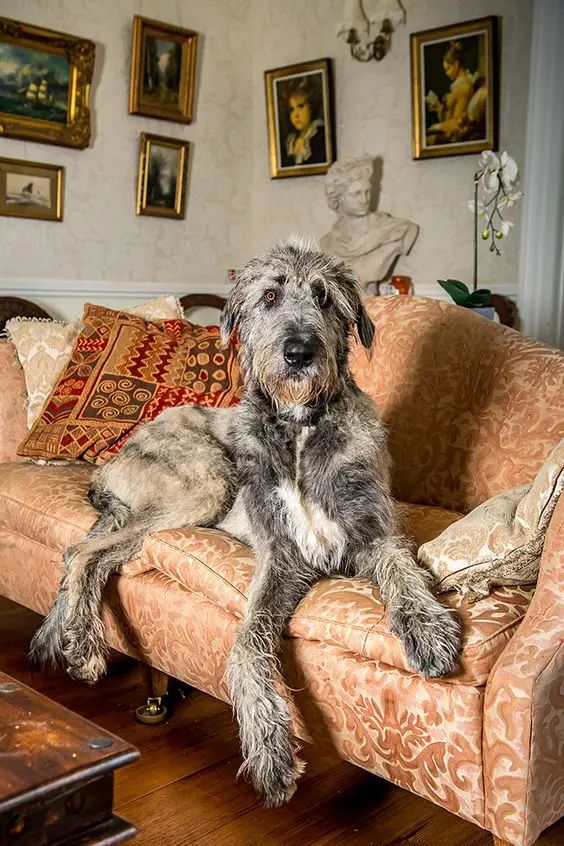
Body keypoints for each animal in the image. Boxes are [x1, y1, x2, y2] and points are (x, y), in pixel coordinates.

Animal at [28, 237, 460, 808]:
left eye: (324, 297)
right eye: (270, 296)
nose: (299, 353)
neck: (299, 428)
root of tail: (110, 460)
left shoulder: (372, 532)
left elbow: (401, 572)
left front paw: (427, 627)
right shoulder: (279, 556)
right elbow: (246, 642)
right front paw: (269, 748)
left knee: (90, 553)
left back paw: (79, 638)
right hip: (207, 483)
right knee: (79, 551)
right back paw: (82, 643)